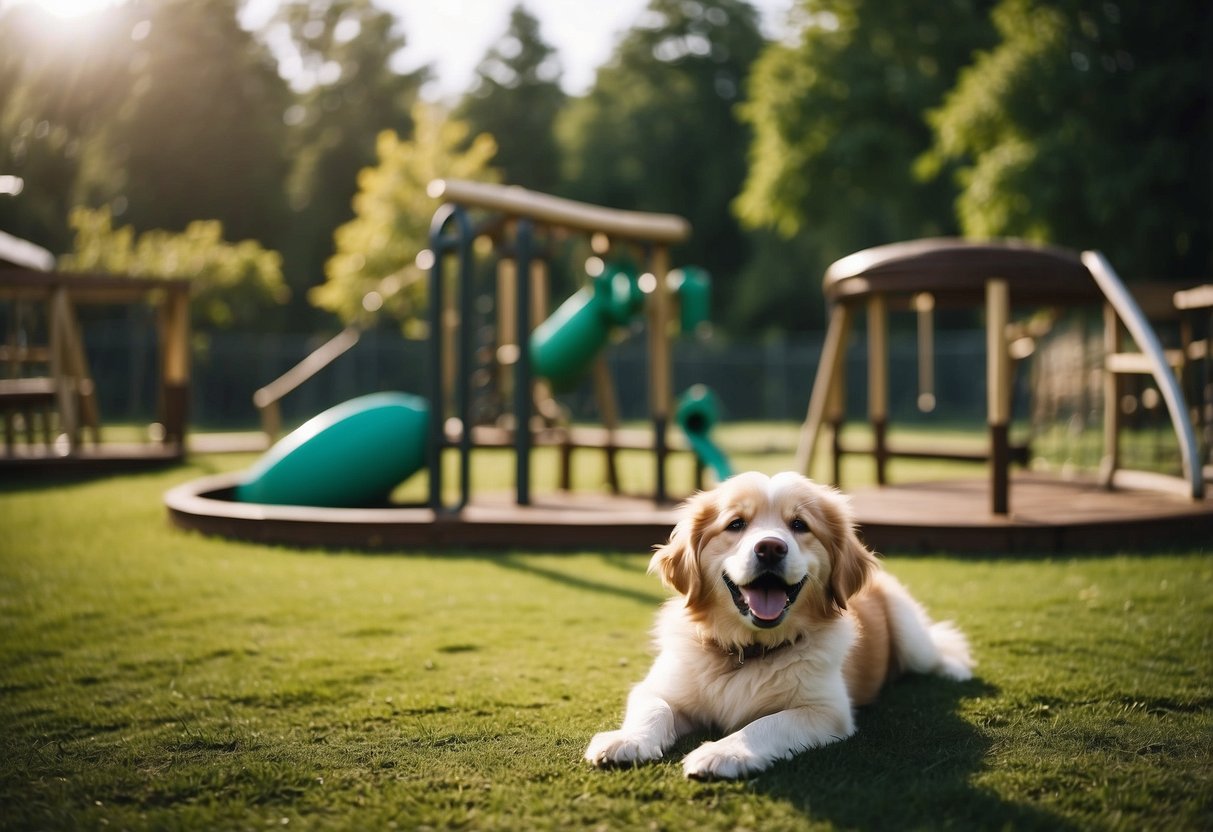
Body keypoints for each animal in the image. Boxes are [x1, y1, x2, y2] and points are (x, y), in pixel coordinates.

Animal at [582, 475, 970, 781]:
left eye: (799, 525)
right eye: (735, 524)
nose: (770, 548)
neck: (749, 649)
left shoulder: (826, 712)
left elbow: (766, 723)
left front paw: (722, 753)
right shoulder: (658, 687)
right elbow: (654, 708)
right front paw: (626, 740)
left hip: (909, 631)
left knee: (934, 647)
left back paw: (955, 669)